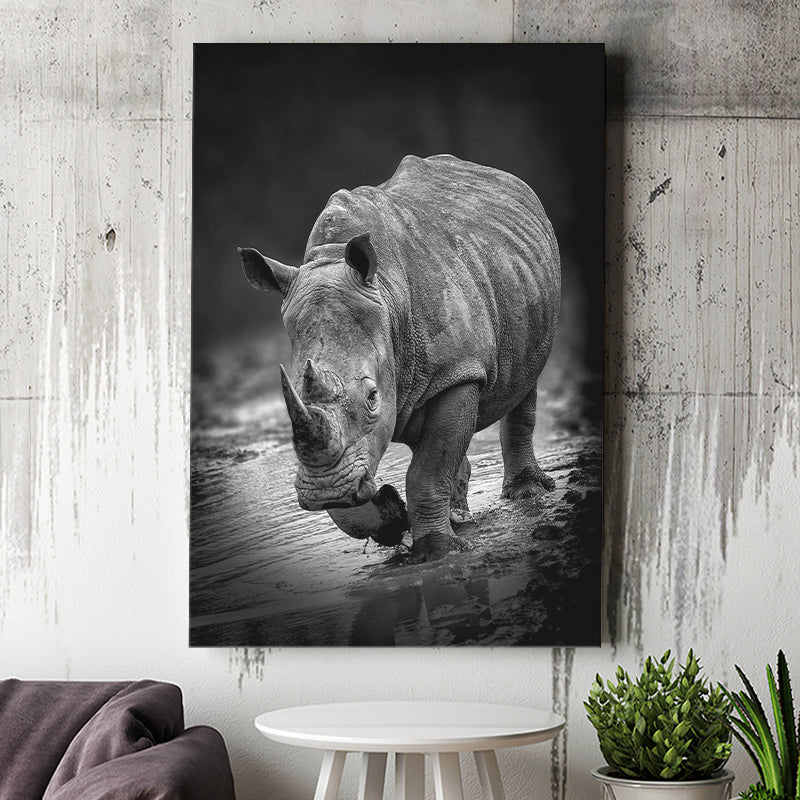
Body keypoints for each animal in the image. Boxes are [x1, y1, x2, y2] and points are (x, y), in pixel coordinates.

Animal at [240, 154, 560, 560]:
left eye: (373, 397)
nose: (324, 491)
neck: (387, 301)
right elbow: (358, 488)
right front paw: (391, 516)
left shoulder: (457, 373)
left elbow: (427, 471)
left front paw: (438, 552)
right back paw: (457, 515)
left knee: (525, 379)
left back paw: (525, 495)